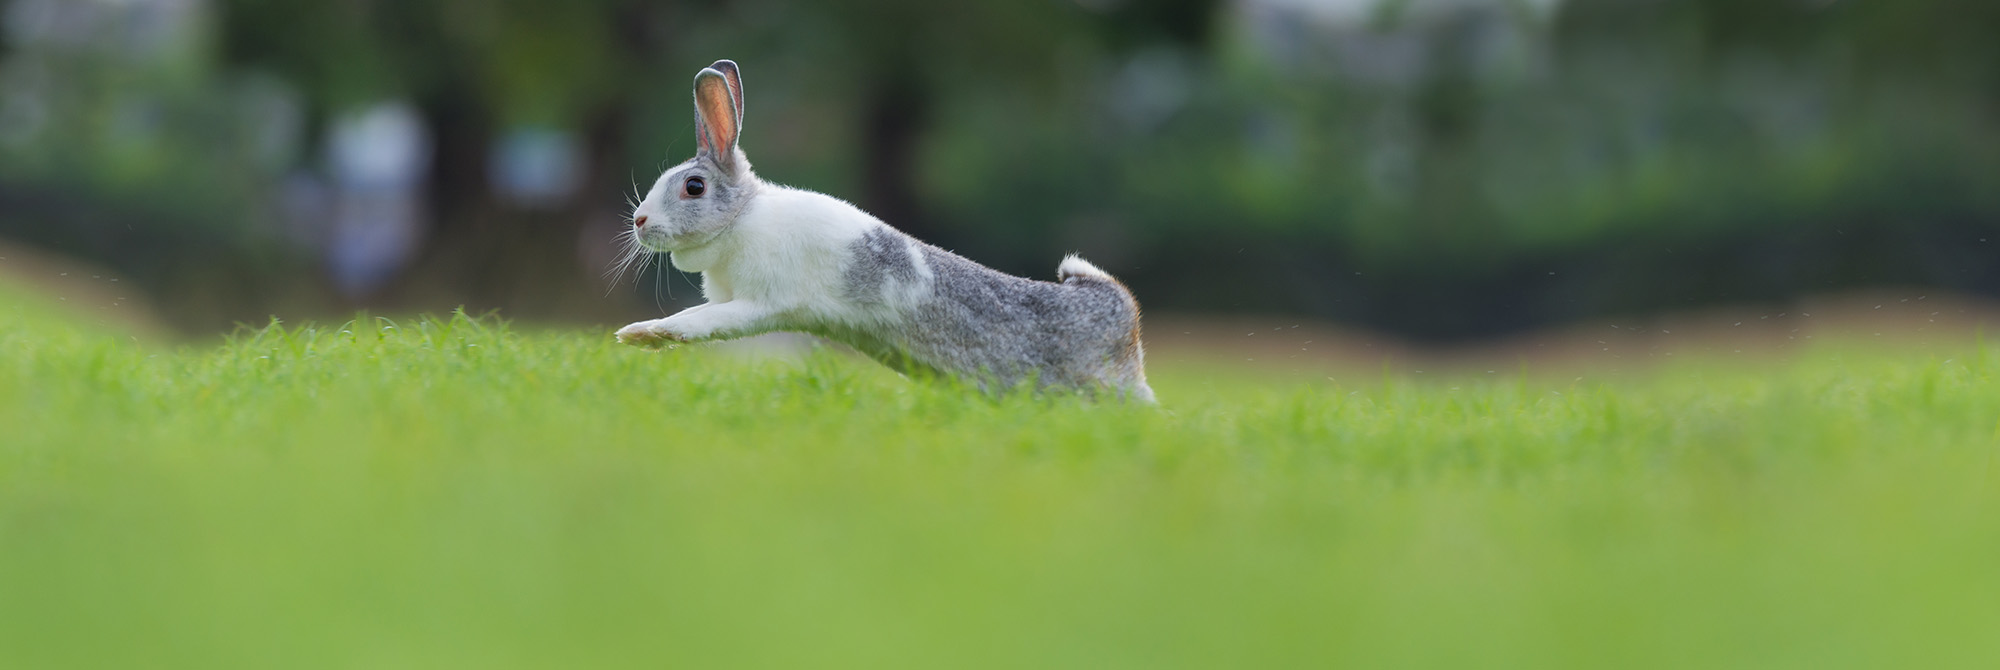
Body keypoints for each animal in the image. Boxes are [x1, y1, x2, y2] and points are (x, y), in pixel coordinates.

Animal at [612, 60, 1160, 402]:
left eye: (694, 187)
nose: (639, 222)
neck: (741, 217)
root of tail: (1125, 320)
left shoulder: (758, 304)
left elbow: (701, 322)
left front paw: (641, 334)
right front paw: (638, 337)